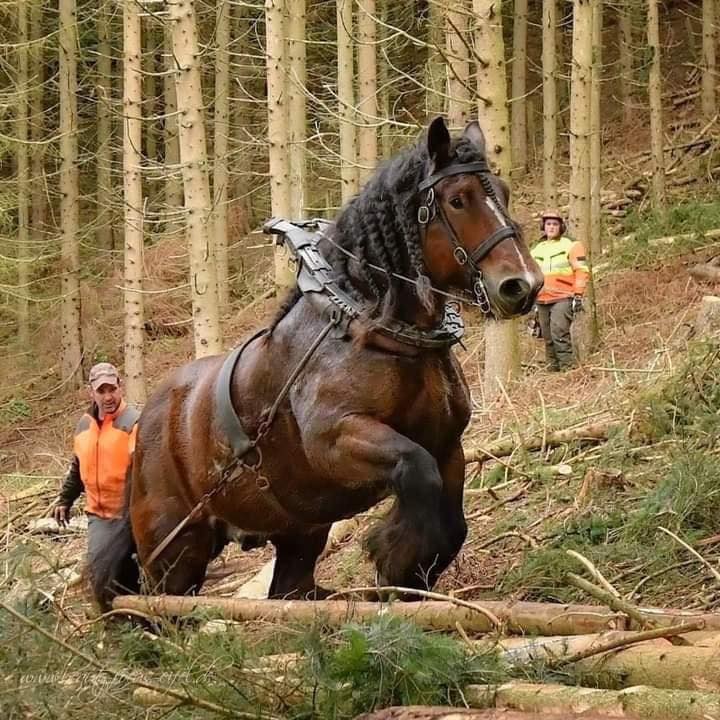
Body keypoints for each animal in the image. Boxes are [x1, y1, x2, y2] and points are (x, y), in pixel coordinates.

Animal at [92, 117, 543, 610]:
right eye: (457, 199)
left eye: (503, 192)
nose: (523, 285)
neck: (371, 327)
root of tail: (143, 425)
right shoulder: (336, 439)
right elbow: (416, 473)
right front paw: (392, 553)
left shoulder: (447, 445)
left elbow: (451, 527)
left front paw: (403, 576)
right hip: (174, 550)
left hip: (297, 534)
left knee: (289, 590)